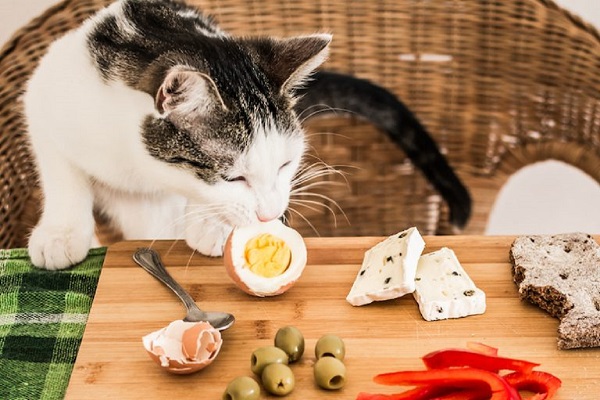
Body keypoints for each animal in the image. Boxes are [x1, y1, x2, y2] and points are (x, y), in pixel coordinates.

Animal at [25, 0, 468, 270]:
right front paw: (62, 232)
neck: (140, 168)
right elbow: (62, 172)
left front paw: (210, 224)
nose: (271, 214)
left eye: (286, 164)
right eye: (232, 176)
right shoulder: (42, 95)